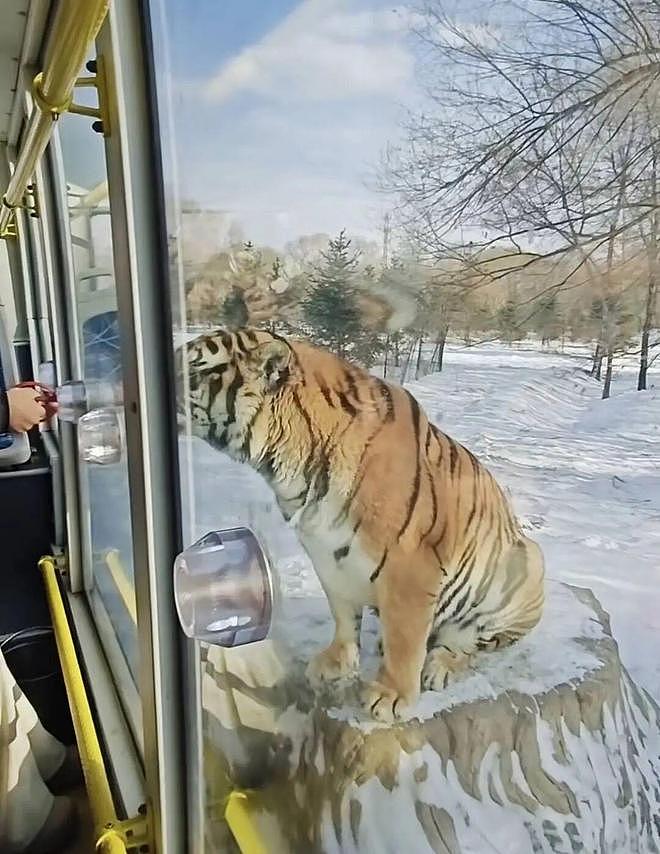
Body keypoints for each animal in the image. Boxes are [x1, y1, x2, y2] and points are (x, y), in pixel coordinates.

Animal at [177, 326, 545, 722]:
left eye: (192, 369)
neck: (287, 464)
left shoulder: (410, 564)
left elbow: (405, 636)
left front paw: (391, 694)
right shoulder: (325, 550)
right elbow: (342, 612)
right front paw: (337, 661)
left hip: (525, 564)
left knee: (469, 640)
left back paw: (441, 665)